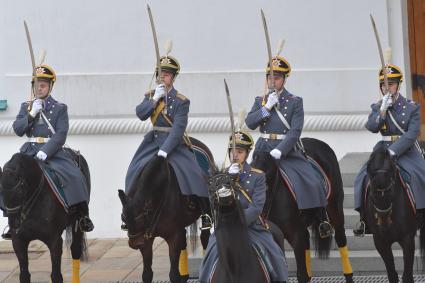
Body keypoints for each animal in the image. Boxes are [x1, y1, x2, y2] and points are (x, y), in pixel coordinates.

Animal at [0, 152, 89, 283]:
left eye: (21, 191)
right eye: (0, 192)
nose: (15, 225)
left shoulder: (55, 241)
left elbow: (56, 276)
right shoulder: (18, 241)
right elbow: (24, 275)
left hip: (77, 222)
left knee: (75, 249)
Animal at [117, 139, 214, 283]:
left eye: (140, 218)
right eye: (123, 218)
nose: (135, 244)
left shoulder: (173, 235)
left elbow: (173, 274)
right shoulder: (146, 239)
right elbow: (147, 274)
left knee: (205, 236)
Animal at [362, 148, 424, 282]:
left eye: (390, 188)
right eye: (372, 193)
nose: (384, 223)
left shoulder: (407, 239)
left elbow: (407, 276)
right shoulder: (380, 241)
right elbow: (392, 274)